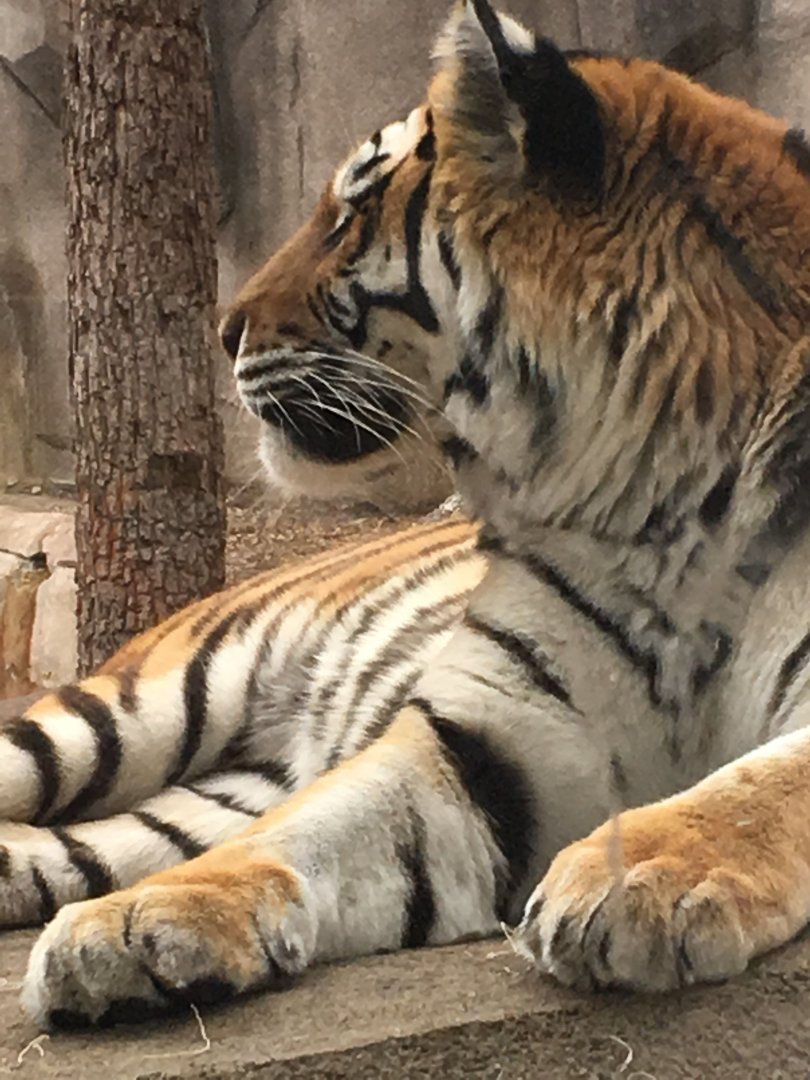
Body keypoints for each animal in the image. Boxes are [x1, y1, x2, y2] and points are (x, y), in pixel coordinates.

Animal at [7, 0, 810, 1030]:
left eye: (350, 215)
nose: (224, 328)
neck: (657, 507)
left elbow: (757, 786)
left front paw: (644, 874)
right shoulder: (478, 742)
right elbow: (315, 826)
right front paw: (134, 925)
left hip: (202, 787)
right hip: (128, 709)